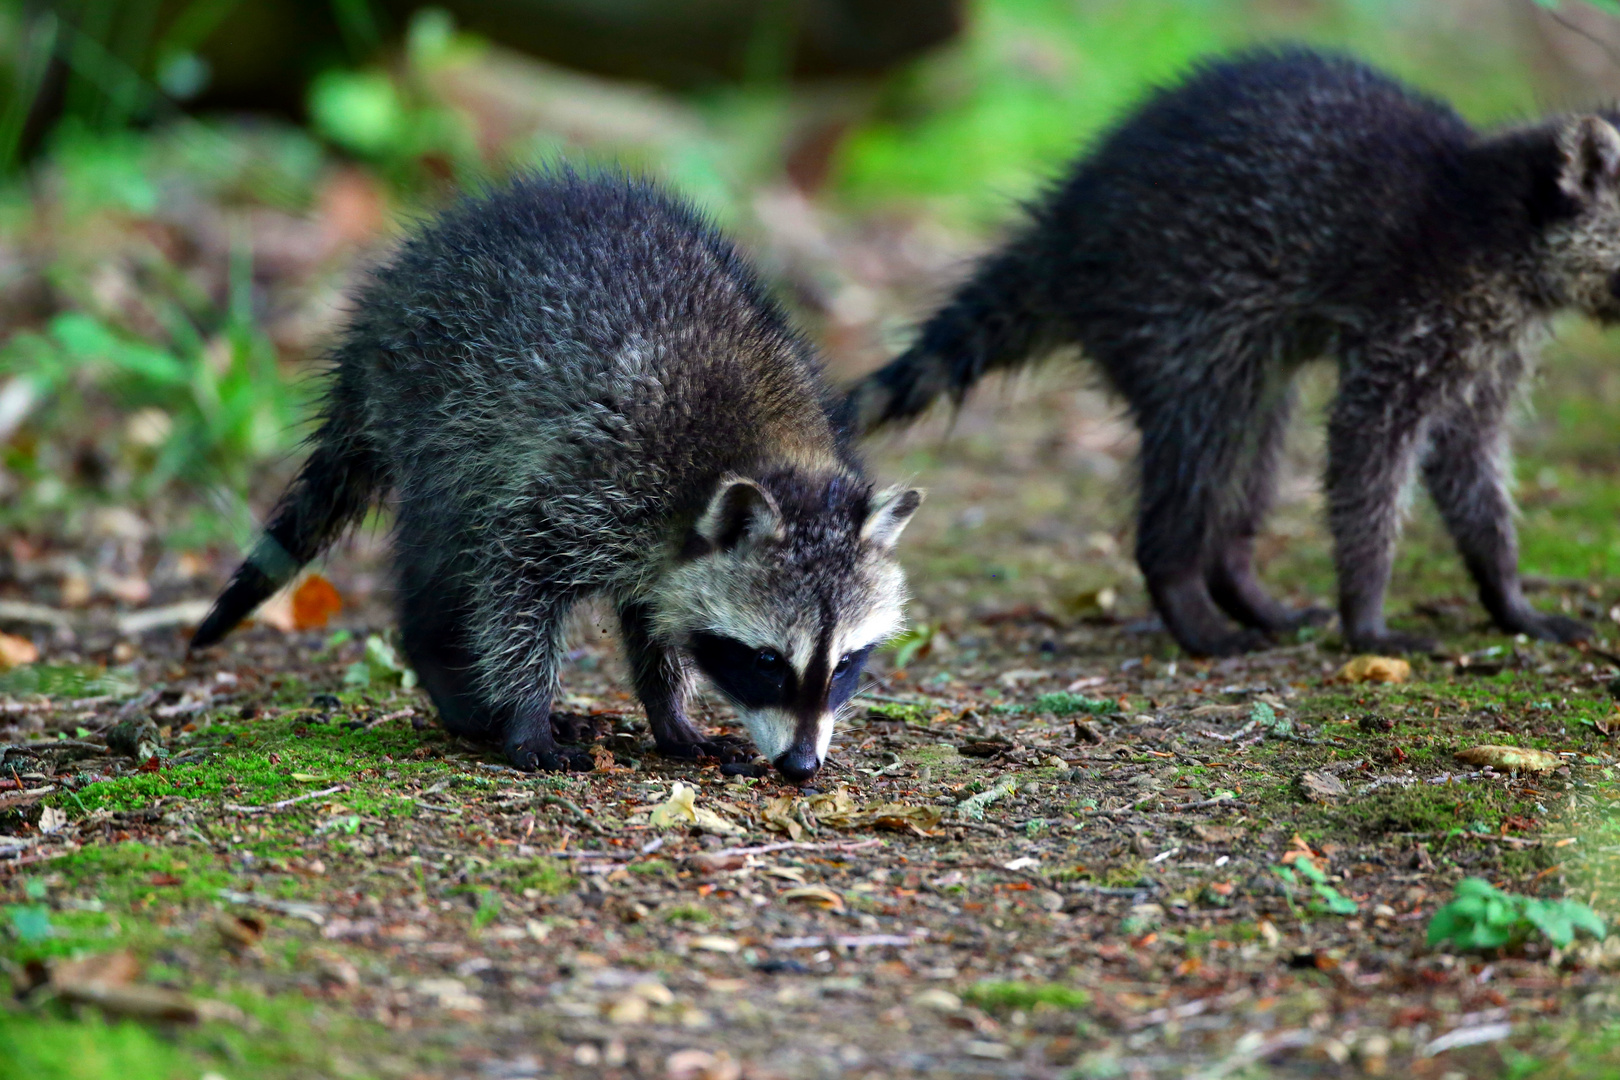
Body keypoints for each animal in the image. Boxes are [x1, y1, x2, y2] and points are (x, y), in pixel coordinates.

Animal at [189, 173, 920, 777]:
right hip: (435, 404)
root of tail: (388, 298)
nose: (801, 766)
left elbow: (653, 618)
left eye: (846, 663)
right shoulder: (603, 473)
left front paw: (669, 711)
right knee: (450, 543)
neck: (763, 453)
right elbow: (517, 574)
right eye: (768, 661)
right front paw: (527, 712)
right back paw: (442, 662)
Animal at [848, 48, 1620, 660]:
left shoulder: (1490, 348)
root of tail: (1062, 238)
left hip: (1233, 343)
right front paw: (1367, 611)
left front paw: (1506, 591)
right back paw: (1185, 591)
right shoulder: (1416, 313)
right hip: (1174, 310)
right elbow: (1367, 448)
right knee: (1205, 443)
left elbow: (1471, 463)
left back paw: (1238, 579)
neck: (1510, 223)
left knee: (1254, 444)